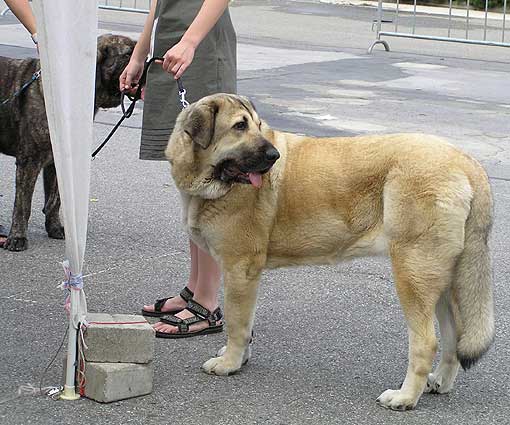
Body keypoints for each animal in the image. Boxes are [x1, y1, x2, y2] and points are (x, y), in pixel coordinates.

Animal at [0, 35, 135, 252]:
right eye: (128, 54)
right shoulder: (29, 161)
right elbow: (23, 204)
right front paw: (18, 237)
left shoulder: (58, 160)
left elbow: (56, 200)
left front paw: (55, 227)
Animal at [166, 92, 494, 408]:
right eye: (239, 127)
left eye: (255, 127)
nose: (274, 156)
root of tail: (467, 161)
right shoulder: (246, 277)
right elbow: (247, 322)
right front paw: (240, 357)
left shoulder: (239, 270)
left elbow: (237, 323)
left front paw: (229, 363)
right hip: (440, 281)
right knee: (454, 336)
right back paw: (439, 381)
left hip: (412, 276)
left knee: (426, 342)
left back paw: (404, 397)